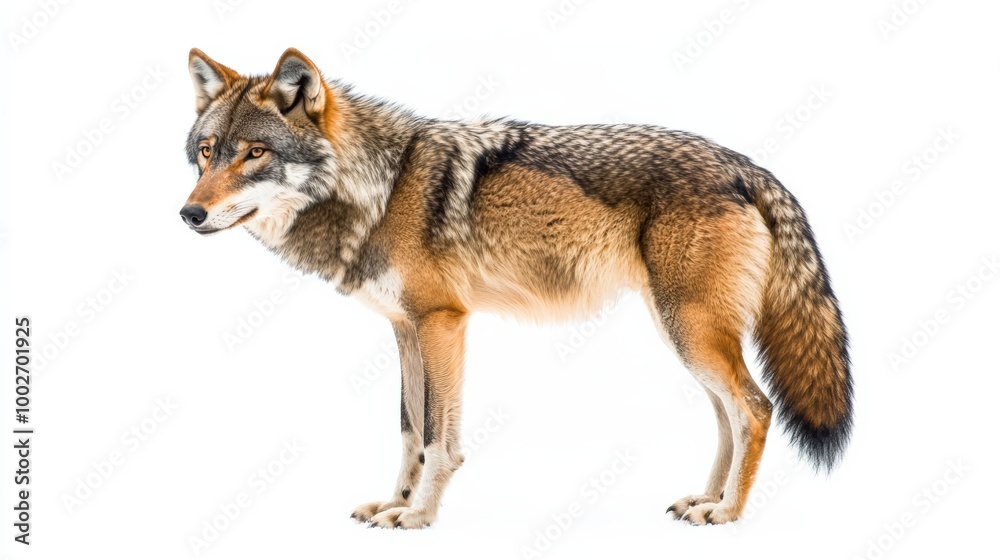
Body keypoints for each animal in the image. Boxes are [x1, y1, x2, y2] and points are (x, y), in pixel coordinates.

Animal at [180, 48, 853, 528]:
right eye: (208, 153)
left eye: (256, 153)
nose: (189, 214)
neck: (382, 188)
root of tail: (747, 165)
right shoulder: (405, 330)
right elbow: (409, 432)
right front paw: (395, 503)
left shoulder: (443, 323)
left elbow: (438, 438)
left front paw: (419, 516)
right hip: (683, 336)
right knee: (727, 418)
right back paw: (704, 500)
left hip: (691, 332)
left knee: (756, 409)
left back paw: (729, 513)